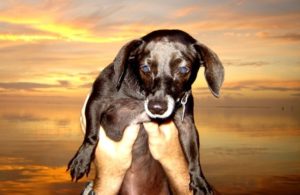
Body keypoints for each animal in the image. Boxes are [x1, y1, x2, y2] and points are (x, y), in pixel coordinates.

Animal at [67, 29, 223, 195]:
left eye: (183, 69)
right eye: (145, 68)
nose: (157, 108)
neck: (141, 95)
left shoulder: (187, 125)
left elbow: (194, 155)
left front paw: (199, 181)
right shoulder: (96, 102)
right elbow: (92, 136)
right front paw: (81, 160)